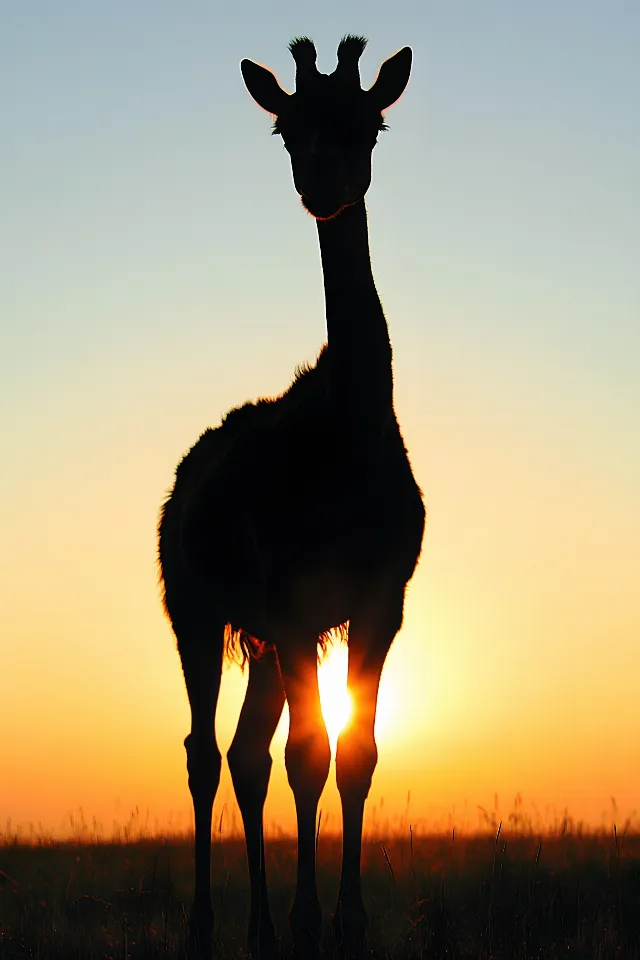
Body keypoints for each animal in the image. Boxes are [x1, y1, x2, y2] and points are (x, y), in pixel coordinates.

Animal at [157, 35, 422, 960]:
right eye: (285, 130)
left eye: (370, 122)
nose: (322, 189)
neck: (351, 440)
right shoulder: (296, 603)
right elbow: (312, 756)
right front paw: (317, 921)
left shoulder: (380, 602)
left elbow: (357, 751)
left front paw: (348, 923)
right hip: (196, 609)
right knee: (205, 750)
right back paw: (208, 926)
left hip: (263, 637)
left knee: (246, 753)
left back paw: (260, 930)